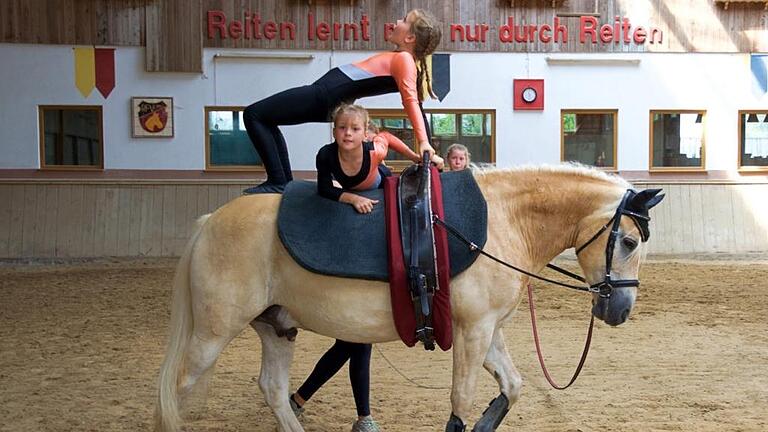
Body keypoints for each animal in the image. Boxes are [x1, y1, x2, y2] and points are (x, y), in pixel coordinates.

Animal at [154, 165, 660, 432]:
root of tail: (211, 221)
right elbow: (461, 398)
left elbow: (512, 387)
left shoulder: (488, 331)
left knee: (274, 390)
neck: (502, 223)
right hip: (213, 333)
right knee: (176, 388)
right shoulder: (472, 332)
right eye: (629, 241)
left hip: (277, 327)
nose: (621, 310)